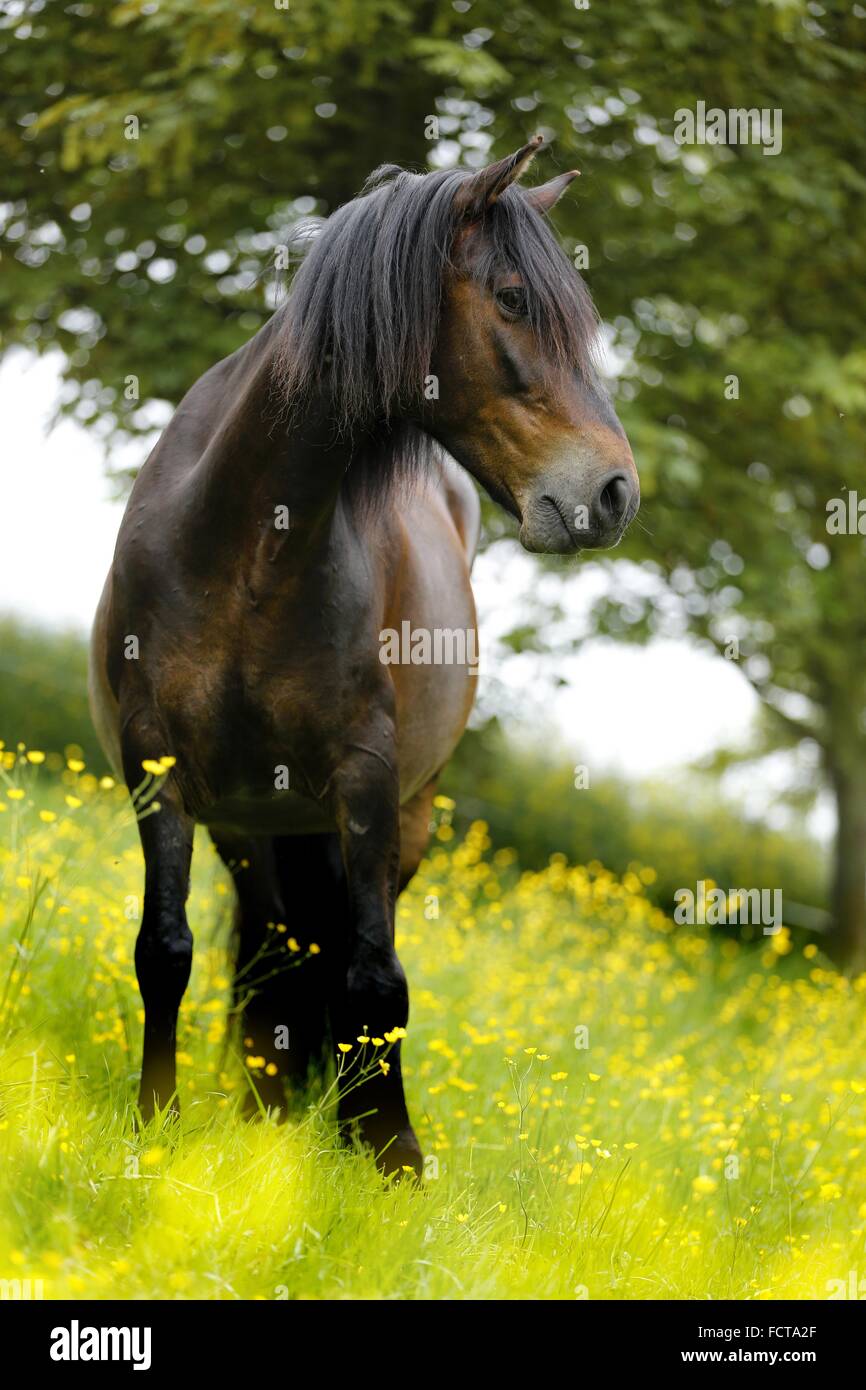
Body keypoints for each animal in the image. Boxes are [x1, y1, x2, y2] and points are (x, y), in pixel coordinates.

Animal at [89, 135, 636, 1173]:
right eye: (512, 299)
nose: (616, 492)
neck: (245, 547)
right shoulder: (156, 764)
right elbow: (165, 949)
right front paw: (154, 1124)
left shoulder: (368, 782)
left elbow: (377, 980)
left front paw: (389, 1156)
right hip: (253, 826)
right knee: (277, 955)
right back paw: (268, 1110)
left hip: (399, 820)